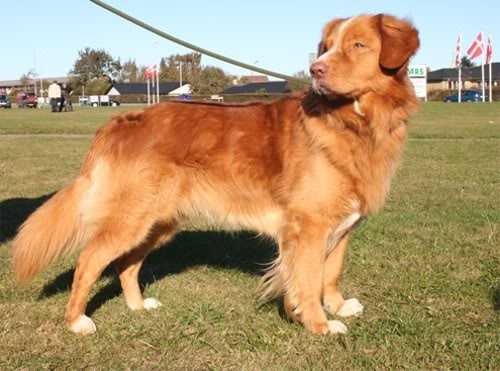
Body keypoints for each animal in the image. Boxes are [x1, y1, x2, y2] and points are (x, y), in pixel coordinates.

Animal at [11, 13, 418, 336]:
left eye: (358, 45)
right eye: (326, 47)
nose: (316, 70)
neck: (353, 122)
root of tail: (121, 121)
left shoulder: (342, 225)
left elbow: (330, 273)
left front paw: (336, 304)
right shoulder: (308, 227)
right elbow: (307, 280)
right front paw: (318, 323)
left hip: (157, 221)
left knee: (126, 264)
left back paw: (138, 306)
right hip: (130, 218)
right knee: (89, 261)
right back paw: (76, 321)